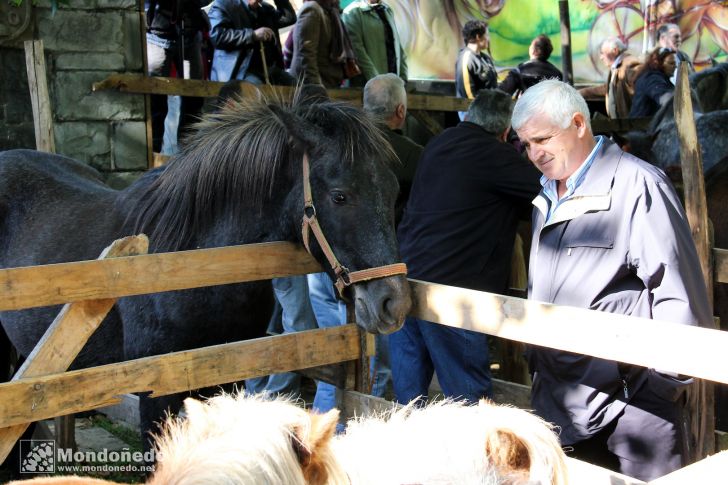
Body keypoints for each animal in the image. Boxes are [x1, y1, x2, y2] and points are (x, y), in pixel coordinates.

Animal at [0, 91, 410, 450]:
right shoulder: (154, 396)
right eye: (340, 196)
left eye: (394, 193)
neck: (194, 267)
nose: (393, 303)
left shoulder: (224, 381)